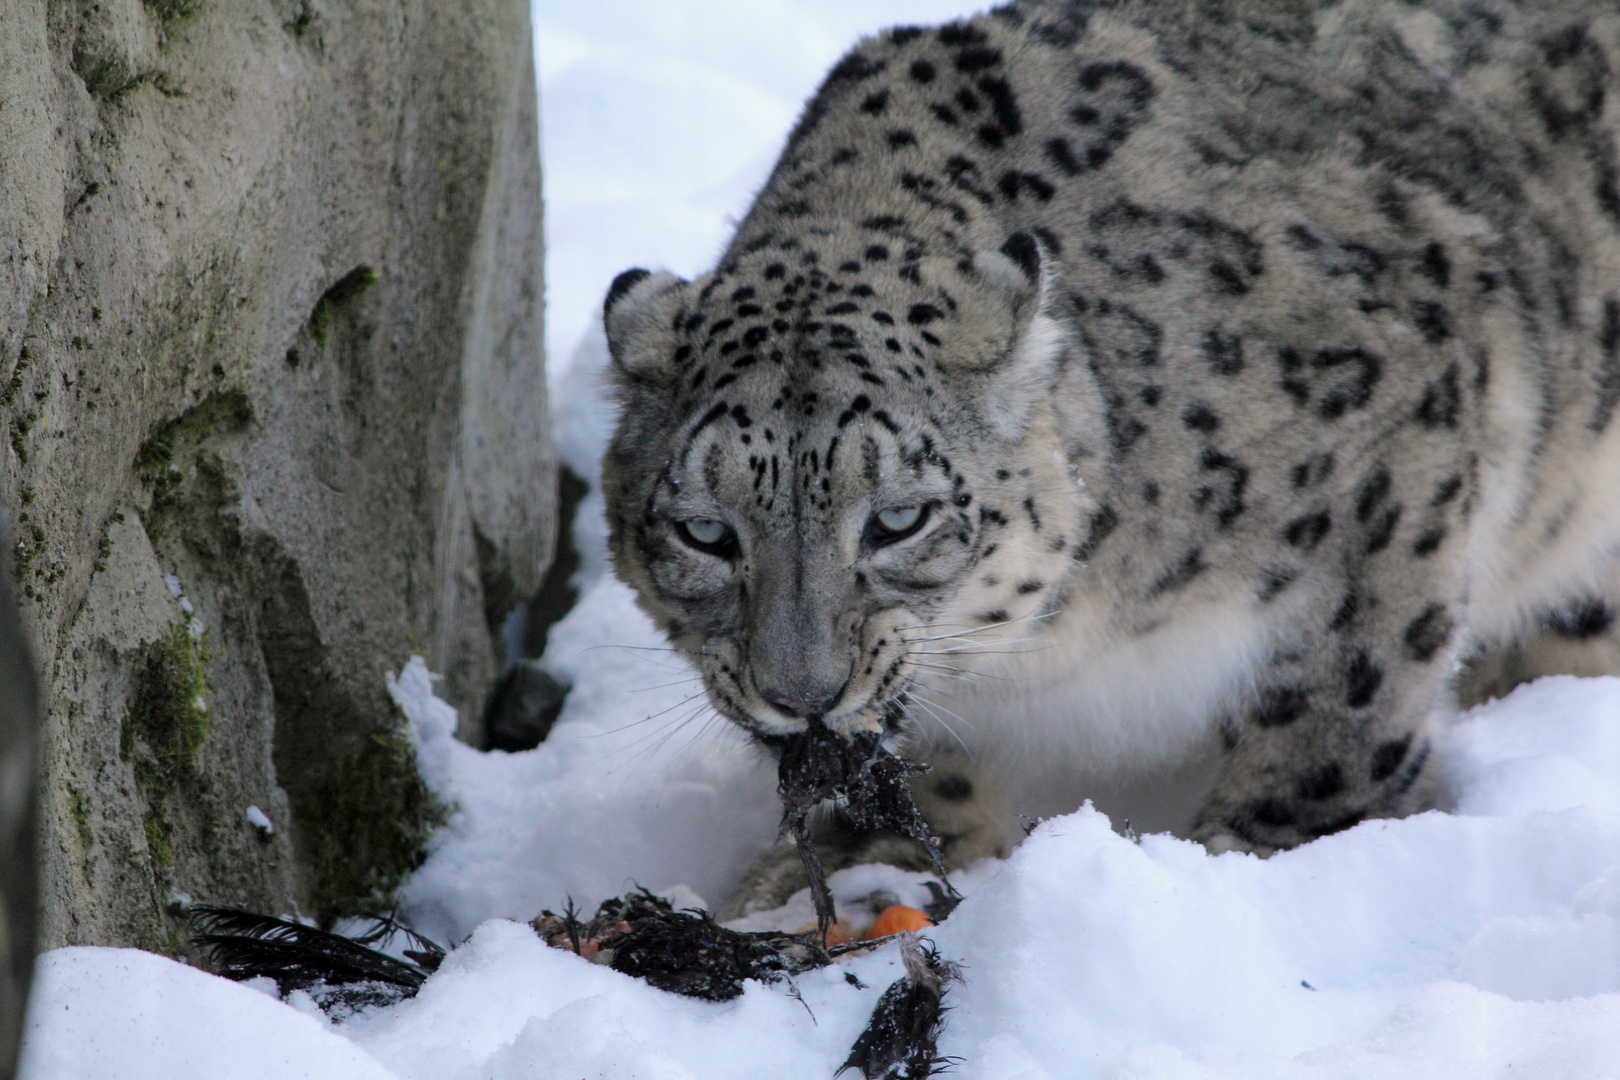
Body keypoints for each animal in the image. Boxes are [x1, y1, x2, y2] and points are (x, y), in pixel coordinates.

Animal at [602, 0, 1620, 880]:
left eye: (898, 520)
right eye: (704, 532)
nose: (803, 697)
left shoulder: (1402, 453)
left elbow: (1342, 708)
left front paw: (1252, 852)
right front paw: (870, 866)